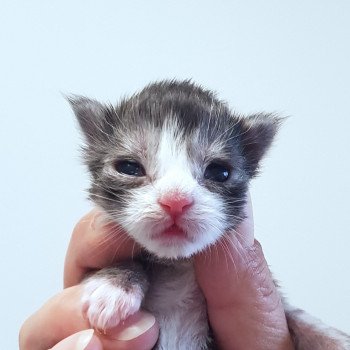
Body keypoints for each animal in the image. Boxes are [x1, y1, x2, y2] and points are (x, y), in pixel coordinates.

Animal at [69, 80, 350, 350]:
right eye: (129, 167)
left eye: (219, 172)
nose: (175, 201)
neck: (177, 266)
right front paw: (113, 286)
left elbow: (301, 318)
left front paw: (336, 339)